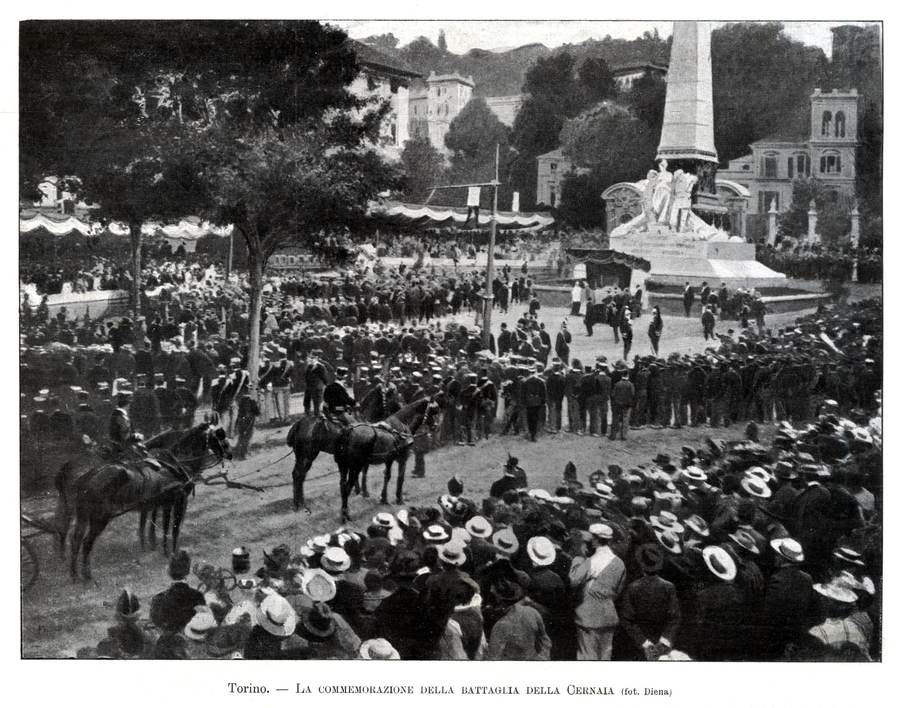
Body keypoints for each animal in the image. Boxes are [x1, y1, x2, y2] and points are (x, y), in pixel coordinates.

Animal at [64, 426, 230, 580]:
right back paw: (87, 575)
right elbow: (175, 529)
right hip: (100, 519)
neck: (178, 462)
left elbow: (164, 527)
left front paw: (164, 550)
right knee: (86, 543)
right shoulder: (180, 500)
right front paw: (173, 552)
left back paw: (74, 575)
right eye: (219, 436)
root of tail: (88, 477)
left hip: (84, 516)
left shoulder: (166, 502)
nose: (229, 454)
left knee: (75, 540)